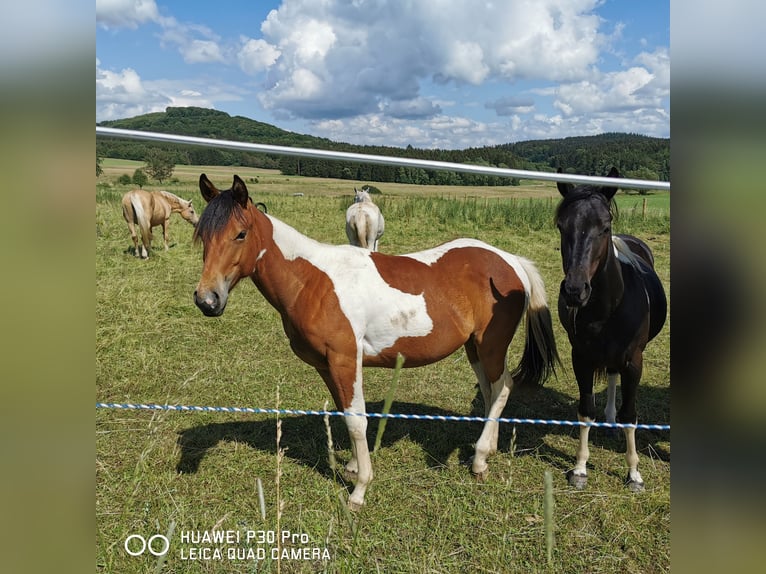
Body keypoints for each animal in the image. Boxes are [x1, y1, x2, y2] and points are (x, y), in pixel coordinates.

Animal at [195, 173, 560, 510]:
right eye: (202, 234)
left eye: (240, 234)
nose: (207, 300)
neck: (313, 280)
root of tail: (510, 261)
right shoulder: (328, 366)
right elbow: (346, 416)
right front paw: (354, 466)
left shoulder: (345, 360)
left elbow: (357, 421)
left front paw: (359, 490)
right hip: (474, 347)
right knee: (490, 390)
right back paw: (487, 451)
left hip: (491, 344)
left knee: (503, 387)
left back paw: (481, 459)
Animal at [556, 169, 668, 492]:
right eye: (561, 226)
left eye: (604, 227)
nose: (574, 291)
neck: (607, 308)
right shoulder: (581, 358)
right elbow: (585, 410)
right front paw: (580, 469)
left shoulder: (634, 362)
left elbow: (630, 415)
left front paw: (634, 474)